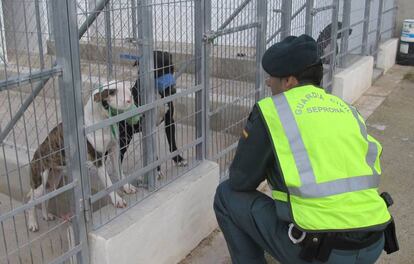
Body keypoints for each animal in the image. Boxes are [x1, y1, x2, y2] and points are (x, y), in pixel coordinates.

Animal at [27, 80, 137, 231]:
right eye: (112, 92)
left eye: (128, 89)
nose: (130, 99)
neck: (101, 120)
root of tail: (35, 155)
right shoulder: (98, 160)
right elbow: (108, 183)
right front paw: (117, 200)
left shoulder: (114, 150)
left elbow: (120, 173)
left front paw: (126, 187)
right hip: (40, 180)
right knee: (30, 201)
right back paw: (32, 223)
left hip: (53, 181)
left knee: (46, 197)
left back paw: (45, 215)